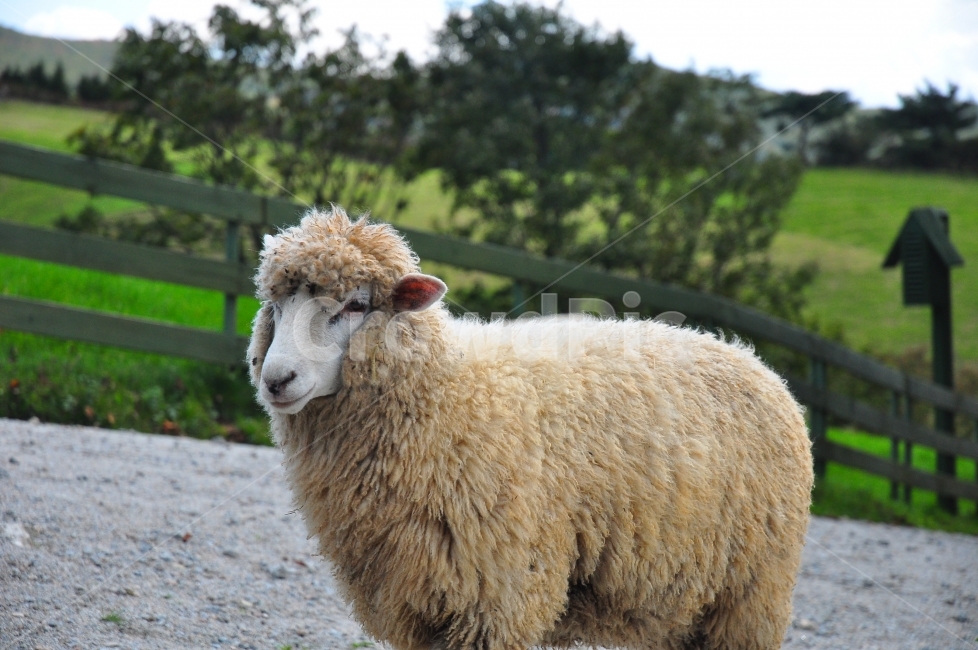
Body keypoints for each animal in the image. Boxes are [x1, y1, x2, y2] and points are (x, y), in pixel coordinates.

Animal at [248, 207, 813, 650]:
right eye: (277, 305)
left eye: (356, 305)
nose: (276, 379)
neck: (448, 396)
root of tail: (751, 358)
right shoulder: (419, 598)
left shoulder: (497, 594)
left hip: (750, 595)